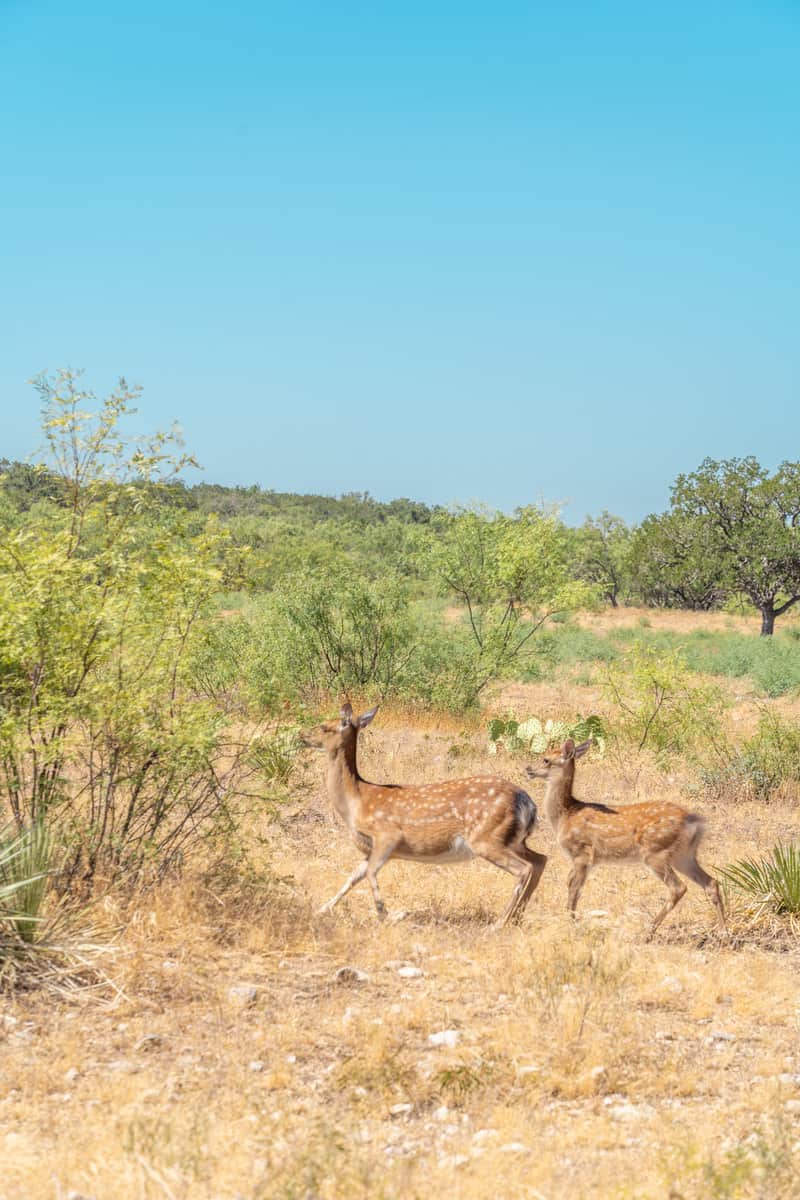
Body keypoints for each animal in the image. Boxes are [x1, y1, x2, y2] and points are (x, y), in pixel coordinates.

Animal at [303, 700, 546, 926]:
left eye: (325, 727)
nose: (302, 735)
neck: (356, 802)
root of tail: (528, 802)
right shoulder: (369, 849)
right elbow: (352, 878)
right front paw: (321, 910)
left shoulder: (387, 835)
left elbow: (371, 873)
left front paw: (390, 915)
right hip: (513, 840)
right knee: (540, 860)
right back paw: (516, 918)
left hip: (487, 837)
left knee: (524, 869)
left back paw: (499, 923)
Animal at [525, 734, 724, 940]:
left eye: (546, 759)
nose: (528, 769)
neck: (566, 814)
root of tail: (694, 821)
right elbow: (570, 885)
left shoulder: (582, 853)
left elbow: (574, 890)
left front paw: (572, 925)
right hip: (683, 855)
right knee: (711, 883)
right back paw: (723, 932)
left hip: (656, 852)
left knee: (678, 888)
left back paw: (648, 931)